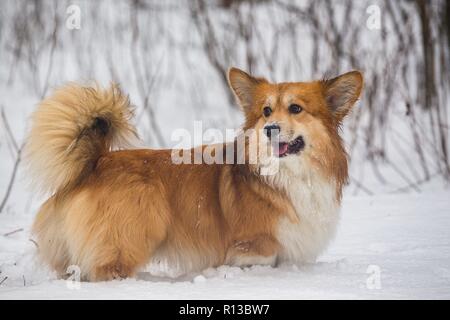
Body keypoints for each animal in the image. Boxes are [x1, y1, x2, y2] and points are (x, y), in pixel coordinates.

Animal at [24, 67, 362, 280]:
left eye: (295, 109)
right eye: (266, 111)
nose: (270, 129)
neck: (291, 175)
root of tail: (95, 162)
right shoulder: (253, 249)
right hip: (129, 238)